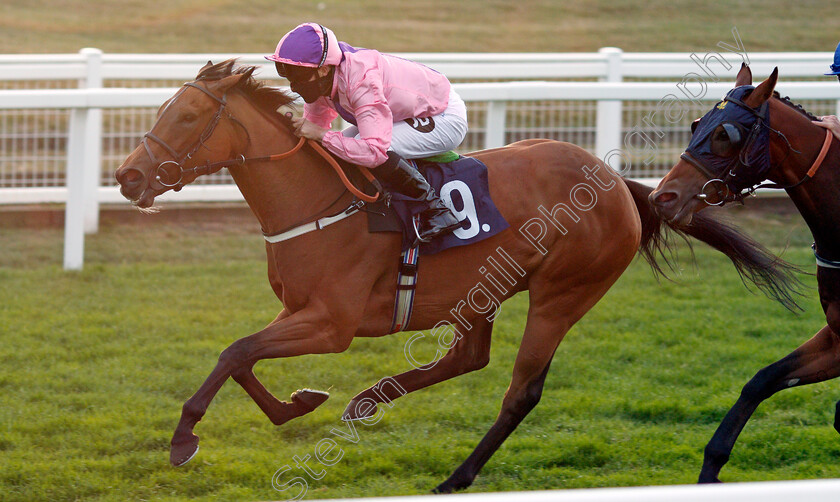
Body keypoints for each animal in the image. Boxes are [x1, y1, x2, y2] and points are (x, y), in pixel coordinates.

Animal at [116, 60, 796, 492]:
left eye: (186, 118)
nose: (128, 177)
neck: (318, 204)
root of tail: (623, 186)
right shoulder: (297, 311)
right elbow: (243, 357)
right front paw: (298, 403)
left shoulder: (331, 325)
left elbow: (234, 352)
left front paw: (183, 439)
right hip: (482, 289)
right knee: (470, 356)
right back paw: (369, 399)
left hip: (562, 293)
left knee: (520, 391)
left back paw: (454, 476)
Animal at [648, 62, 840, 482]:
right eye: (697, 124)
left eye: (725, 134)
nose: (661, 197)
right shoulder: (837, 336)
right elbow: (760, 381)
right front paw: (711, 466)